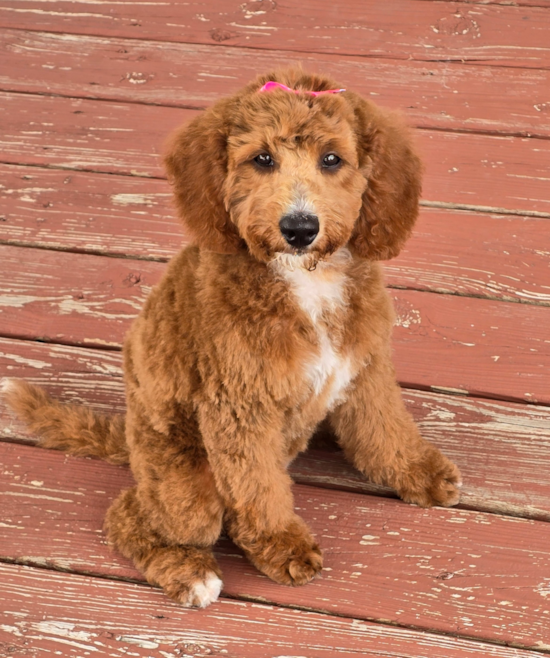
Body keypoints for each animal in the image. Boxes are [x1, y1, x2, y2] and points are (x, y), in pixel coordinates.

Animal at [3, 69, 462, 608]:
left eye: (332, 159)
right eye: (262, 159)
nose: (300, 228)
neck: (305, 280)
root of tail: (131, 438)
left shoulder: (364, 369)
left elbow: (385, 428)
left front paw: (417, 471)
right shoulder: (240, 408)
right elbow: (258, 487)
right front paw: (282, 544)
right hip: (186, 487)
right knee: (130, 514)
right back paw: (190, 572)